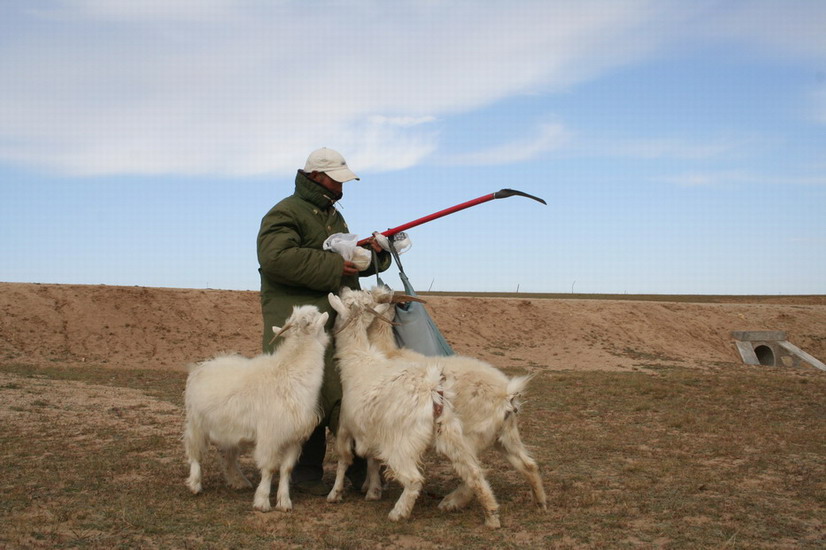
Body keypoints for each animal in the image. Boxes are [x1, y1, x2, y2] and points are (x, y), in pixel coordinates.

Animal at [183, 306, 328, 512]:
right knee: (194, 451)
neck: (290, 371)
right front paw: (262, 501)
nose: (324, 311)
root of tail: (203, 365)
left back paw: (238, 481)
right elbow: (269, 468)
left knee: (227, 455)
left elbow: (286, 469)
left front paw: (284, 501)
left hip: (228, 429)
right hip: (197, 422)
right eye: (312, 316)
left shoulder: (294, 437)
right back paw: (195, 484)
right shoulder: (270, 435)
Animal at [326, 294, 498, 532]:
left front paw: (335, 494)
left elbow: (344, 460)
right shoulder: (372, 429)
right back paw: (492, 516)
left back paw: (399, 512)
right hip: (451, 434)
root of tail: (433, 393)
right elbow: (372, 460)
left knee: (414, 479)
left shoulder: (345, 426)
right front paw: (373, 490)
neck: (357, 359)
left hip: (401, 443)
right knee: (474, 473)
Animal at [366, 288, 548, 512]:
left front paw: (372, 489)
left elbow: (372, 455)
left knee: (476, 471)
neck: (387, 351)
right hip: (505, 435)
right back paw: (540, 502)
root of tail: (506, 395)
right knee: (528, 464)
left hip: (469, 436)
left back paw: (452, 501)